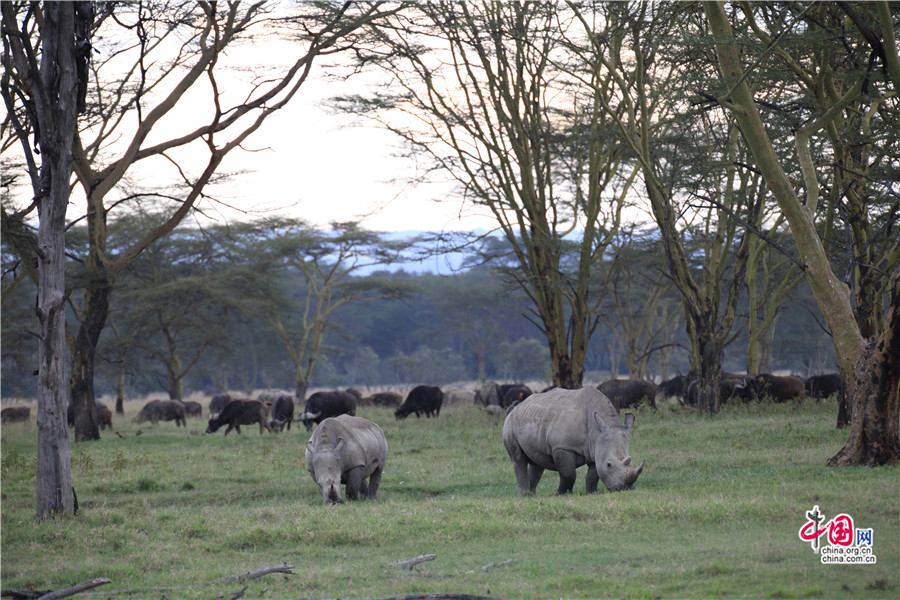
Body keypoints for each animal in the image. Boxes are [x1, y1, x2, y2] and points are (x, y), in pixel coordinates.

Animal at [502, 386, 644, 494]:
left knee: (536, 463)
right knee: (518, 459)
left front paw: (591, 493)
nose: (625, 489)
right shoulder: (563, 447)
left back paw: (532, 495)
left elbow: (593, 475)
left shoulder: (595, 449)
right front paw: (562, 494)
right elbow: (568, 474)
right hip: (510, 423)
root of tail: (516, 408)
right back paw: (525, 495)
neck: (597, 430)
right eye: (609, 464)